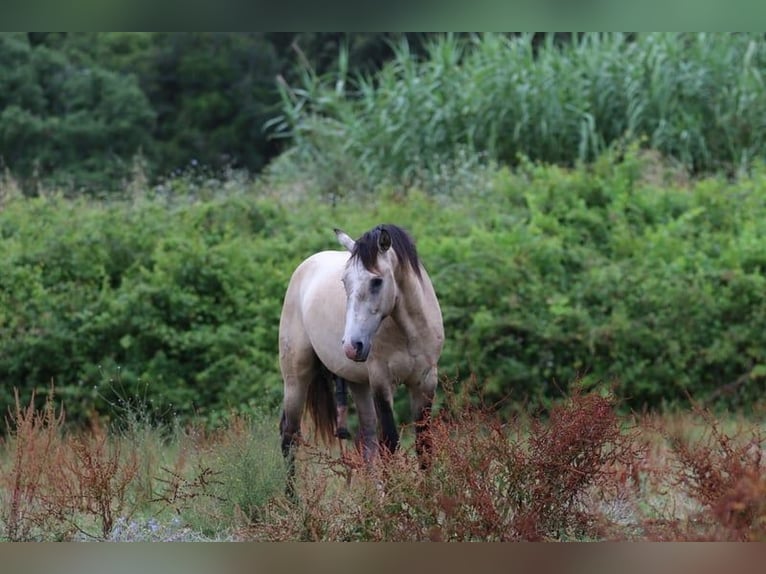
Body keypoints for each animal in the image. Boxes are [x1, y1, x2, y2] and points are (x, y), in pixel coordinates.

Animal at [278, 223, 444, 492]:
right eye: (344, 282)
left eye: (377, 281)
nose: (351, 346)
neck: (408, 331)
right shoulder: (382, 383)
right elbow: (391, 445)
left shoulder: (425, 382)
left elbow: (424, 446)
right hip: (296, 378)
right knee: (289, 436)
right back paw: (292, 499)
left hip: (359, 385)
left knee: (367, 441)